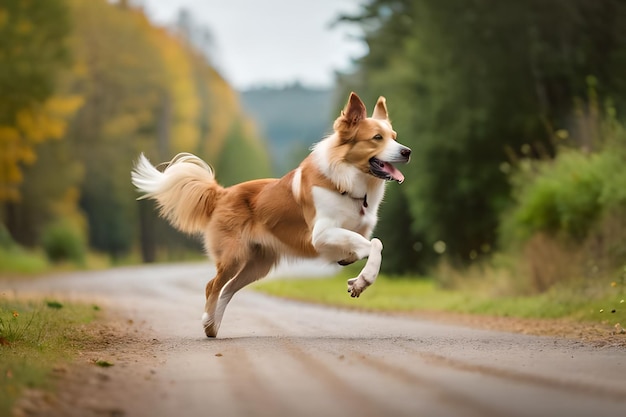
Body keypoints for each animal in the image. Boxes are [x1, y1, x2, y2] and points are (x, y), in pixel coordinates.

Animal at [130, 92, 410, 336]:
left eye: (394, 136)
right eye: (377, 137)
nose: (407, 151)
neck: (349, 181)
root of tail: (222, 193)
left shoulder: (351, 232)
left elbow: (364, 245)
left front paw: (356, 279)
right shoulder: (321, 234)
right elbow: (375, 244)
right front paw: (364, 279)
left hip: (257, 266)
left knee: (228, 289)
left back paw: (213, 326)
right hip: (233, 257)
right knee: (213, 285)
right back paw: (208, 320)